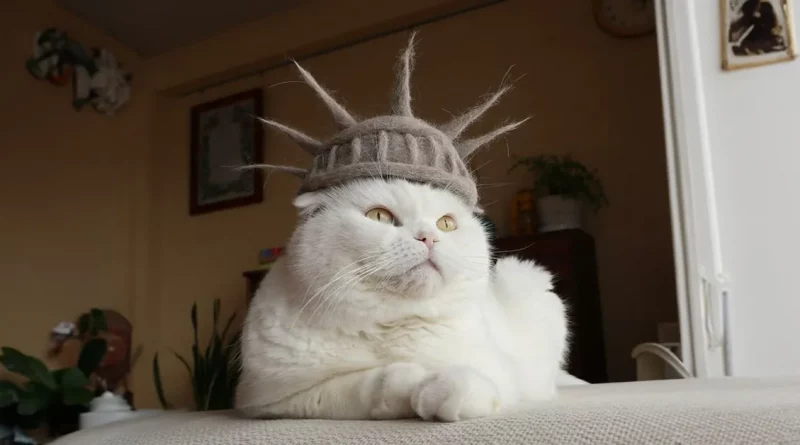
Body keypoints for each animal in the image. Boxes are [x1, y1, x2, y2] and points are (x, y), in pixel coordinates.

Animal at [234, 176, 580, 420]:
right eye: (379, 216)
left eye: (446, 223)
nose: (429, 237)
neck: (388, 325)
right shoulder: (271, 401)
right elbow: (366, 385)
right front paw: (412, 383)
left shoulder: (503, 374)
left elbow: (474, 383)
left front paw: (444, 391)